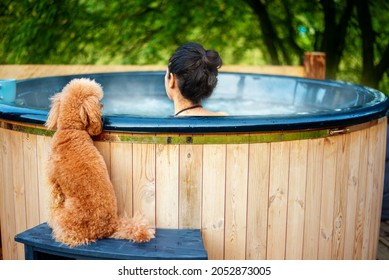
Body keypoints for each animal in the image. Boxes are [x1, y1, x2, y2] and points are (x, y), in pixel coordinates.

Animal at [45, 77, 155, 246]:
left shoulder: (54, 183)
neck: (71, 129)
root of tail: (110, 227)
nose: (103, 106)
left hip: (67, 222)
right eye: (98, 100)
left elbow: (53, 202)